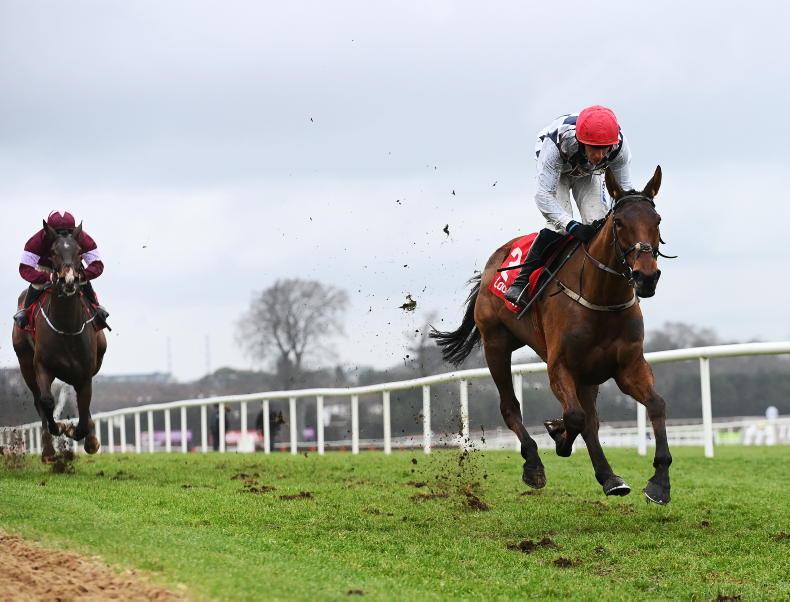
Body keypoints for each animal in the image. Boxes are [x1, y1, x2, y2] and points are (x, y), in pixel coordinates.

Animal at [12, 221, 107, 461]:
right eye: (53, 251)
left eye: (80, 251)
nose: (69, 280)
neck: (67, 327)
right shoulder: (41, 365)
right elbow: (46, 402)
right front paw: (61, 428)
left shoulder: (85, 372)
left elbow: (83, 410)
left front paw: (87, 438)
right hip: (25, 363)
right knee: (39, 400)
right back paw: (48, 451)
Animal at [431, 166, 672, 504]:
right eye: (619, 223)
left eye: (657, 220)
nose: (646, 277)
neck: (602, 298)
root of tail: (492, 264)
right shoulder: (560, 366)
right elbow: (574, 417)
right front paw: (558, 437)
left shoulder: (628, 366)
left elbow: (656, 405)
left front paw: (659, 481)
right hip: (495, 344)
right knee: (512, 407)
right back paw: (533, 463)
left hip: (587, 374)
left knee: (592, 420)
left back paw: (609, 477)